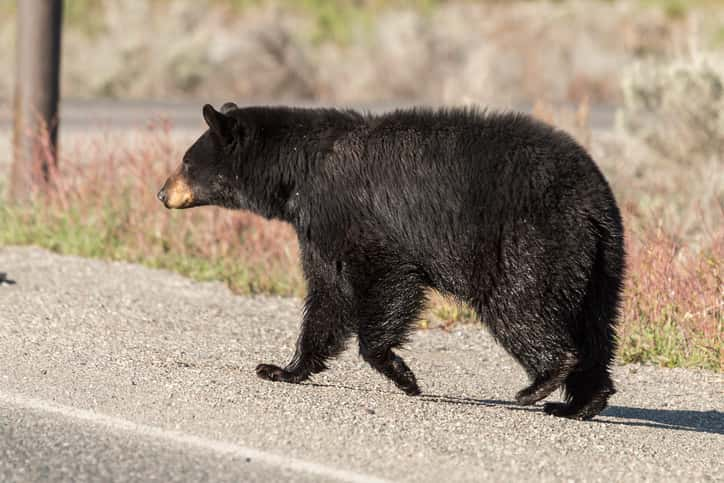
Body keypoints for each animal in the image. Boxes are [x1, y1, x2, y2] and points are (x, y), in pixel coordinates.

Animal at [160, 103, 628, 420]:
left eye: (186, 160)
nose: (162, 193)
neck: (299, 170)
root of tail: (590, 200)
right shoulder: (318, 227)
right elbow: (327, 294)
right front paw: (282, 368)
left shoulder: (351, 213)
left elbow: (384, 279)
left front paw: (403, 375)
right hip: (600, 260)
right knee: (596, 327)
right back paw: (583, 402)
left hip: (527, 241)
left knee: (519, 305)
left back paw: (539, 384)